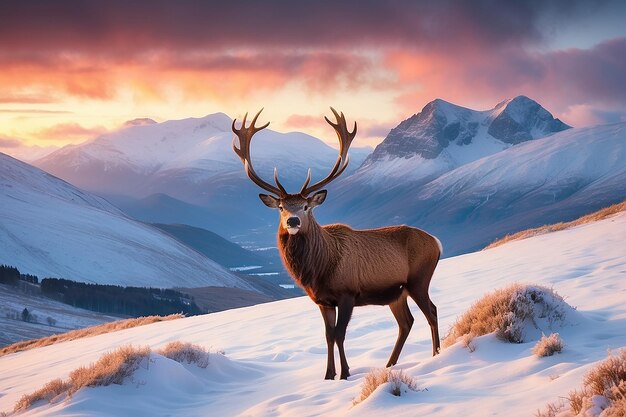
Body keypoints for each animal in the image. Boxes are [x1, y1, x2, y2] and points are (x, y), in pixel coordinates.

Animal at [232, 108, 442, 380]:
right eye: (280, 207)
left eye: (306, 206)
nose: (292, 221)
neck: (319, 270)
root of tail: (437, 242)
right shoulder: (322, 301)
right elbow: (328, 336)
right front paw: (328, 374)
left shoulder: (347, 293)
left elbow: (340, 334)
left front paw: (344, 373)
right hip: (397, 292)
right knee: (406, 322)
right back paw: (389, 364)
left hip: (419, 280)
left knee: (432, 312)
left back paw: (436, 353)